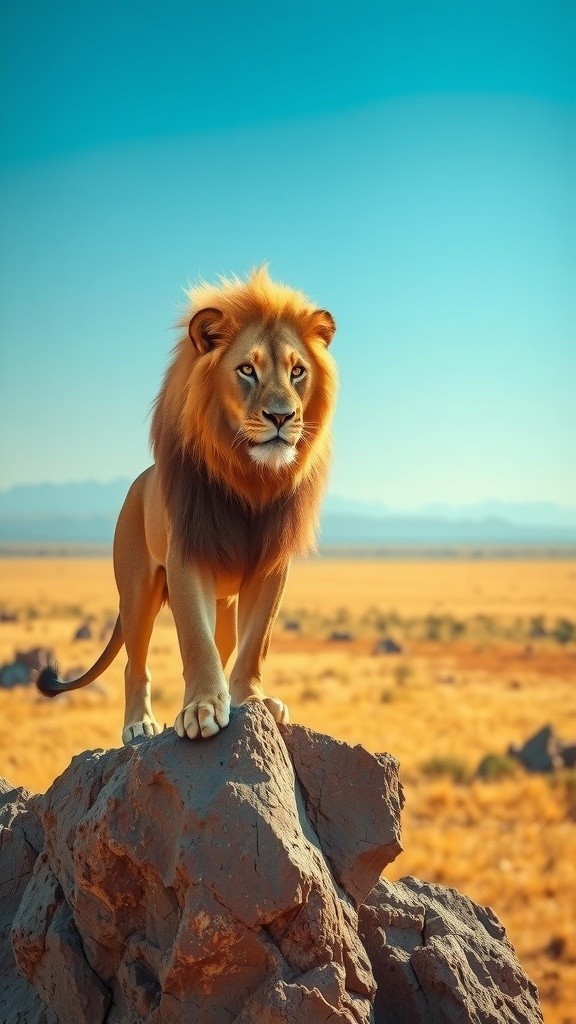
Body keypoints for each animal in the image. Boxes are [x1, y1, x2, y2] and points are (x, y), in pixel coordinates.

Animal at [37, 268, 337, 743]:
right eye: (247, 370)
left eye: (297, 372)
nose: (282, 417)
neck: (249, 477)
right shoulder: (187, 556)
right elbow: (195, 639)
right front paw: (200, 709)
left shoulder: (272, 566)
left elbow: (257, 642)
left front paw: (252, 699)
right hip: (136, 592)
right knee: (134, 664)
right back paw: (139, 724)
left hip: (223, 605)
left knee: (225, 644)